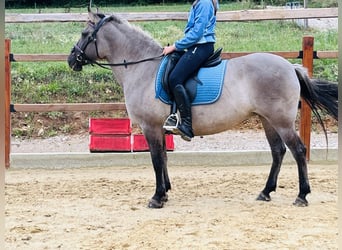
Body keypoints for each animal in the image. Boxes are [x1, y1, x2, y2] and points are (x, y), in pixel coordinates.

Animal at [67, 9, 336, 209]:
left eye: (84, 33)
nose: (71, 59)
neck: (143, 68)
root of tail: (291, 67)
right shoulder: (160, 128)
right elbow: (164, 158)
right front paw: (165, 192)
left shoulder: (150, 127)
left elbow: (156, 159)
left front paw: (157, 197)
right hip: (267, 120)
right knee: (278, 152)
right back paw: (265, 192)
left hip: (280, 121)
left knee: (298, 150)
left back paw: (301, 195)